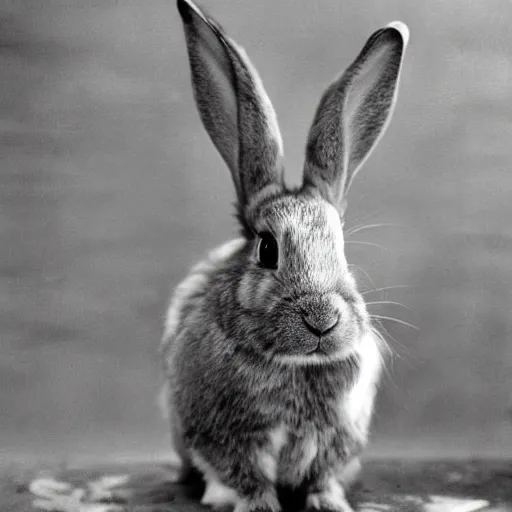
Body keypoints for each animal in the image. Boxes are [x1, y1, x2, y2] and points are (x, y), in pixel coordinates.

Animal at [162, 1, 410, 512]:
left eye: (341, 250)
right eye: (267, 248)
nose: (322, 320)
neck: (295, 365)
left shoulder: (334, 440)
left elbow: (321, 479)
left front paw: (329, 504)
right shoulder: (227, 440)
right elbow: (246, 479)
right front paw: (258, 505)